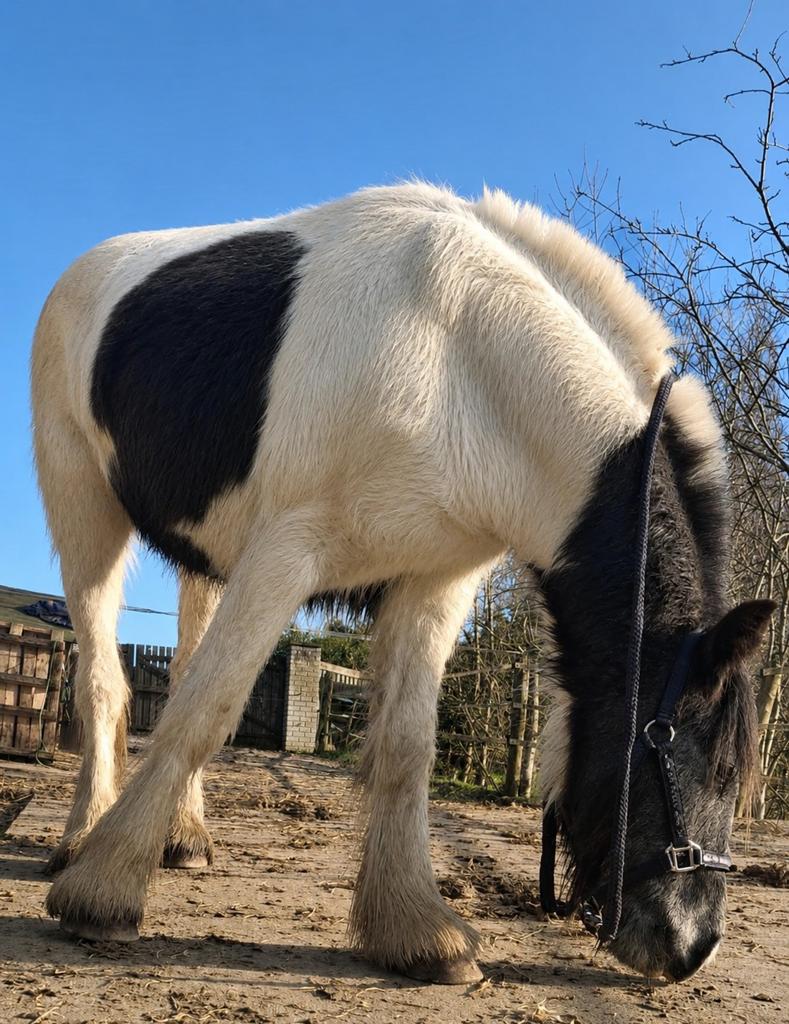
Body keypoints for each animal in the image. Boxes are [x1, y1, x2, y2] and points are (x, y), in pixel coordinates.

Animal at [32, 182, 771, 984]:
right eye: (702, 759)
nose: (691, 947)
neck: (461, 358)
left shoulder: (432, 583)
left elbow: (406, 745)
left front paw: (418, 933)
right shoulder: (285, 551)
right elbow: (208, 706)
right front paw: (103, 894)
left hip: (205, 556)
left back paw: (183, 839)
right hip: (85, 509)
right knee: (104, 680)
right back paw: (80, 842)